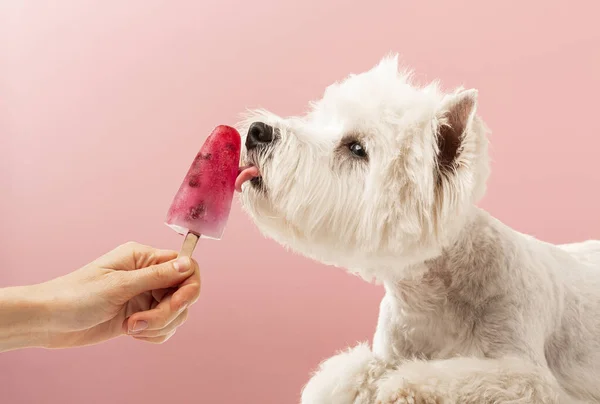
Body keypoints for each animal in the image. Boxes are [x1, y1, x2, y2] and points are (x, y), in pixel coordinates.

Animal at [234, 54, 600, 404]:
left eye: (357, 148)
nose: (257, 131)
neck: (432, 298)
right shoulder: (389, 346)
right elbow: (352, 370)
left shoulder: (527, 374)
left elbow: (460, 379)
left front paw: (404, 386)